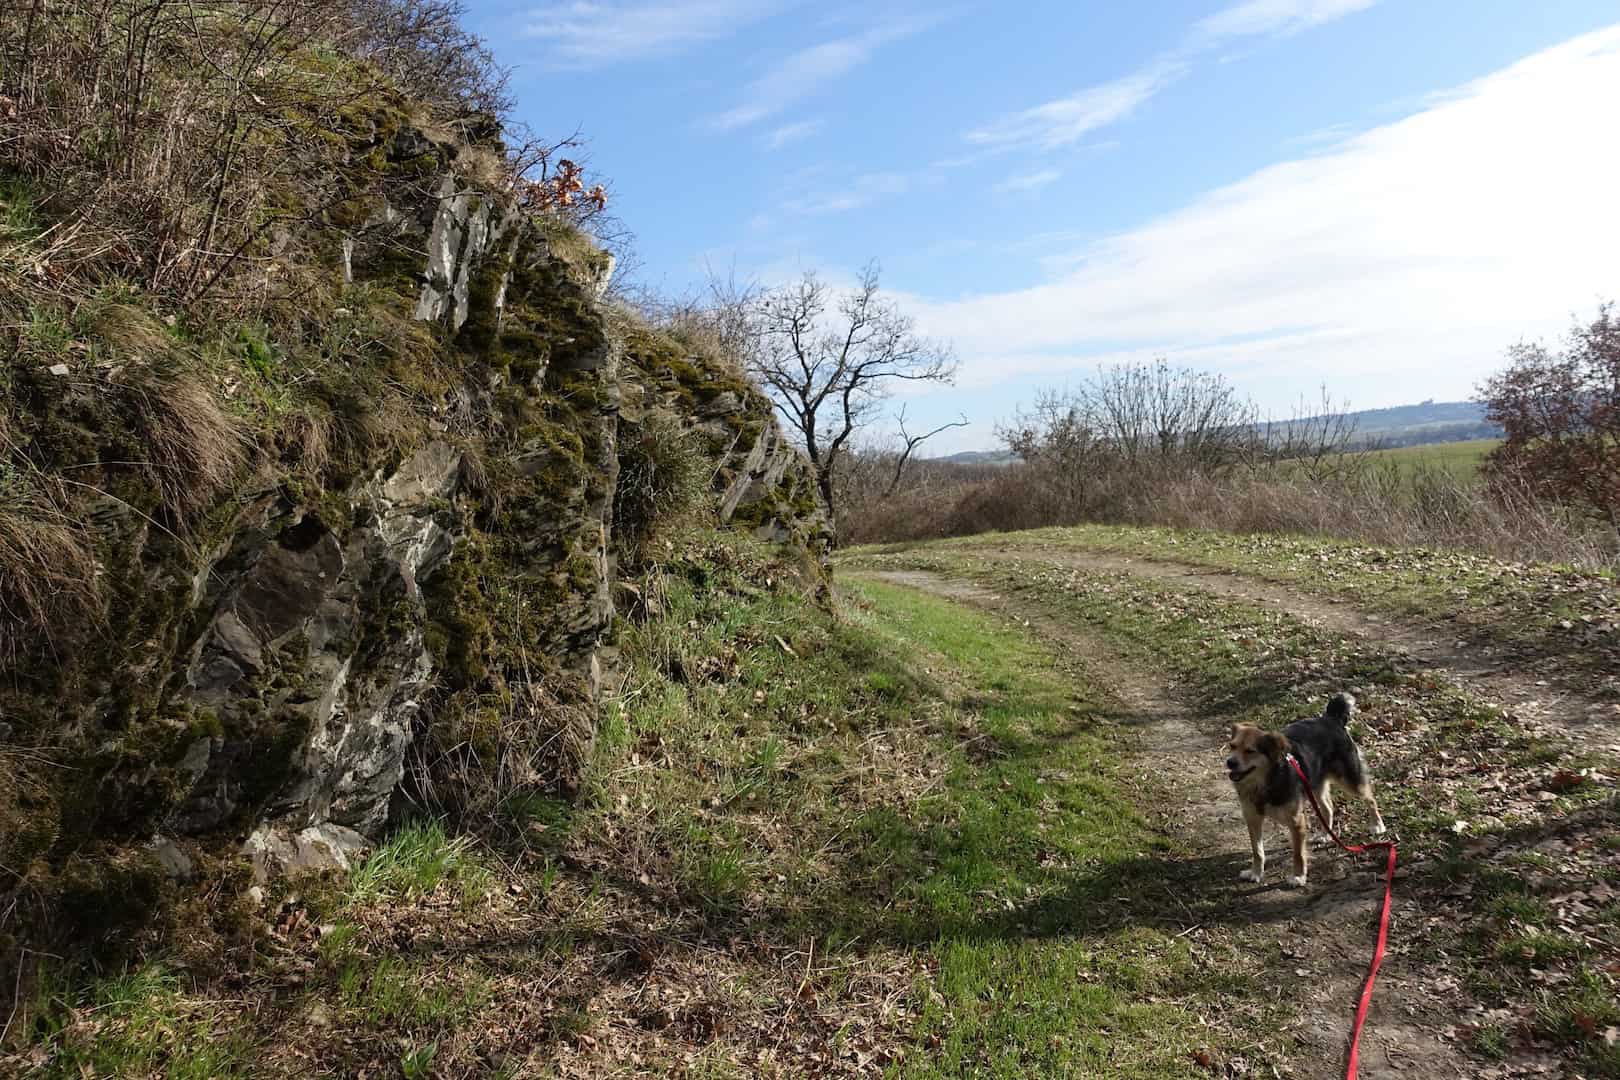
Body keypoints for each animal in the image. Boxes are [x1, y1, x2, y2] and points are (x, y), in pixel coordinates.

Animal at [1218, 693, 1386, 887]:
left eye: (1250, 751)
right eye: (1232, 746)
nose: (1230, 762)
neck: (1267, 781)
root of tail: (1331, 718)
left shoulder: (1296, 821)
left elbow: (1298, 854)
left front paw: (1298, 876)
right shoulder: (1252, 818)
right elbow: (1257, 851)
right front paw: (1256, 873)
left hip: (1350, 781)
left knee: (1370, 799)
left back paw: (1377, 825)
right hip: (1314, 784)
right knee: (1328, 808)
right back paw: (1325, 835)